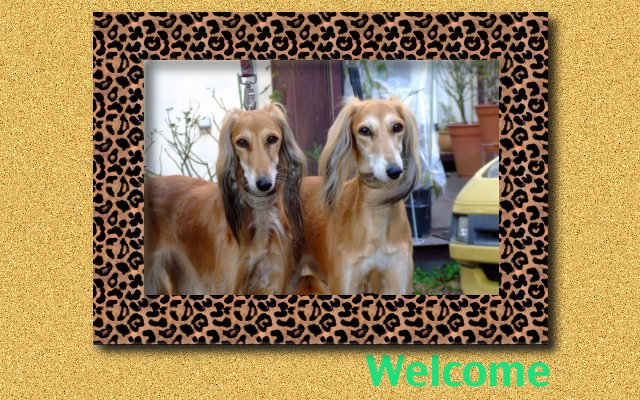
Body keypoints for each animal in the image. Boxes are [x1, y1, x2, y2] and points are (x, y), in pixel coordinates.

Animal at [298, 97, 420, 294]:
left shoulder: (399, 280)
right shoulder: (345, 282)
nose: (395, 171)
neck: (377, 212)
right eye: (364, 130)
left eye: (397, 127)